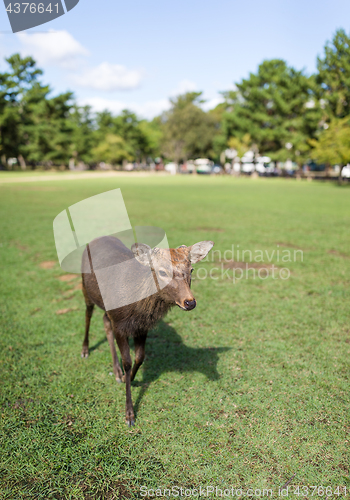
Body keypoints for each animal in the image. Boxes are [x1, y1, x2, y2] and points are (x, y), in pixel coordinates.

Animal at [81, 236, 213, 424]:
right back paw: (85, 350)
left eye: (191, 269)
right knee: (88, 314)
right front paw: (129, 413)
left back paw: (116, 371)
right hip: (85, 289)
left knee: (105, 321)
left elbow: (140, 357)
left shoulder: (142, 326)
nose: (190, 302)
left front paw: (128, 378)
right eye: (162, 272)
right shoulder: (119, 324)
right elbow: (127, 361)